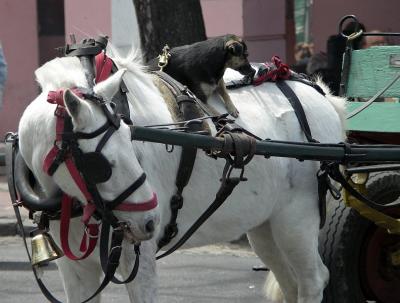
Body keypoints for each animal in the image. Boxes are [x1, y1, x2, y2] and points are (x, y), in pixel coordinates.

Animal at [18, 48, 344, 302]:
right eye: (101, 163)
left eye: (131, 143)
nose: (150, 222)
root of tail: (321, 96)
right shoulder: (75, 270)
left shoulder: (138, 260)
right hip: (266, 225)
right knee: (291, 284)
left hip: (296, 219)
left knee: (313, 281)